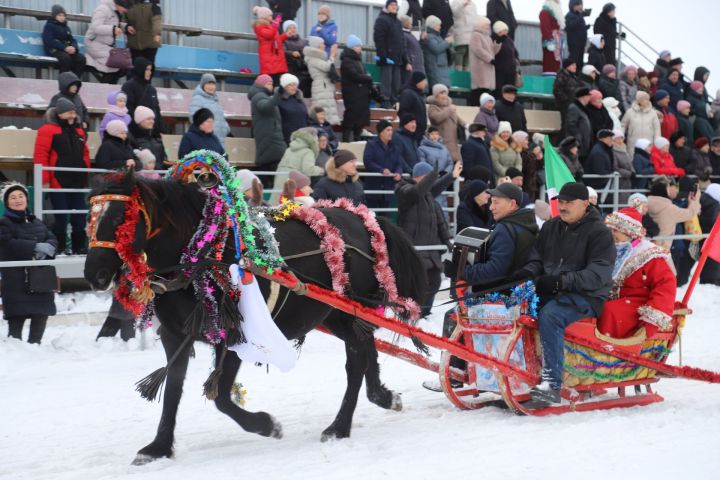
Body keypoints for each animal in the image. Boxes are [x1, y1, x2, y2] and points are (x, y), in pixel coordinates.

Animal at [83, 171, 428, 464]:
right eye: (89, 218)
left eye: (120, 217)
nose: (94, 273)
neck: (204, 255)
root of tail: (363, 219)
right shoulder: (174, 336)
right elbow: (173, 391)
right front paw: (159, 447)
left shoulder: (236, 337)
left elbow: (221, 397)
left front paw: (265, 424)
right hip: (336, 316)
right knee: (366, 349)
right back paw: (382, 396)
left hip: (347, 309)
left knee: (356, 362)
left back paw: (339, 427)